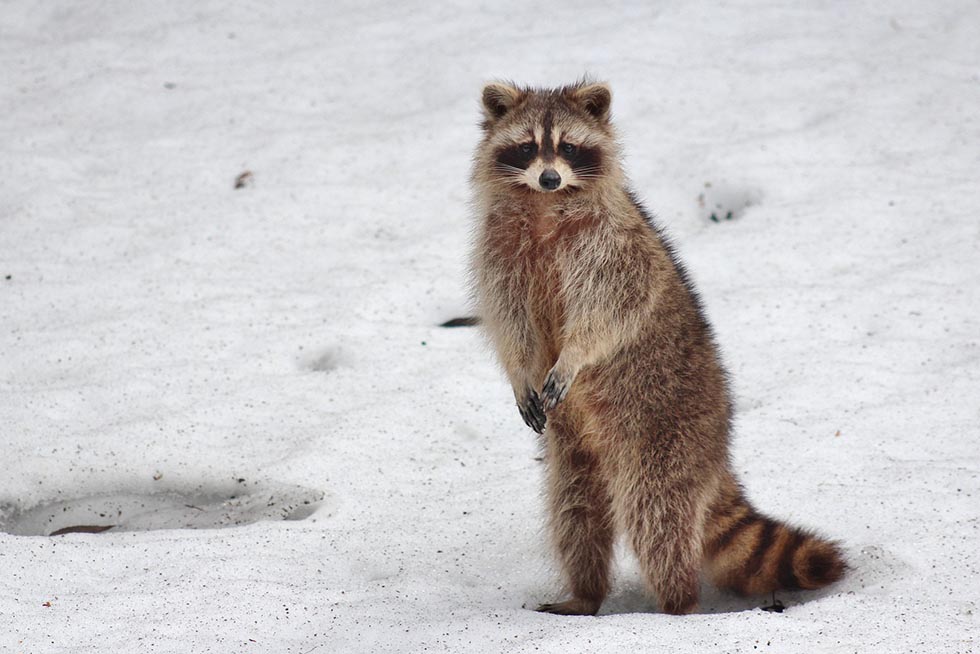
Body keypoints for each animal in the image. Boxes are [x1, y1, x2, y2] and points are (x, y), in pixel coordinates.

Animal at [470, 79, 848, 616]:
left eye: (567, 147)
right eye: (527, 147)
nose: (548, 177)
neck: (544, 206)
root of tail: (717, 451)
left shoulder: (614, 247)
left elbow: (610, 310)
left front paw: (574, 356)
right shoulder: (498, 252)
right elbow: (510, 321)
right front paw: (520, 370)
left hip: (667, 433)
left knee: (657, 513)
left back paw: (677, 603)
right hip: (576, 451)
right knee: (575, 510)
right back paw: (585, 594)